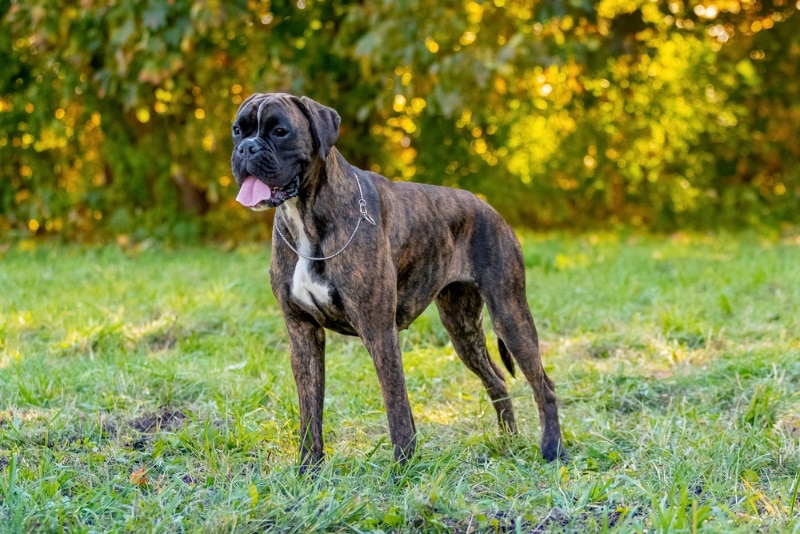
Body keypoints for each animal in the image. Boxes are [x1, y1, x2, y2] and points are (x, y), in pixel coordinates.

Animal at [231, 93, 568, 474]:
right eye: (237, 130)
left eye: (280, 131)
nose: (246, 148)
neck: (305, 215)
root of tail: (487, 207)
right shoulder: (303, 334)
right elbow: (310, 410)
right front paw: (308, 469)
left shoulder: (379, 331)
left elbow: (396, 405)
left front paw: (403, 466)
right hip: (463, 329)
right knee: (496, 380)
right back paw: (508, 442)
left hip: (510, 316)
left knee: (543, 384)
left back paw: (552, 449)